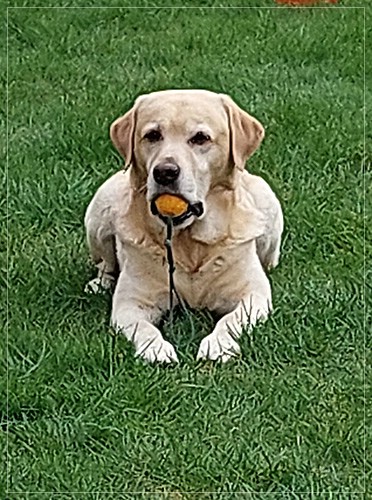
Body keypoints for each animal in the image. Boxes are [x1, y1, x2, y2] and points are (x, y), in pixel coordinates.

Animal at [84, 90, 284, 364]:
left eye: (200, 138)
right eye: (153, 135)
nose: (165, 172)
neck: (190, 244)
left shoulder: (253, 294)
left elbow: (230, 319)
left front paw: (218, 344)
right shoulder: (130, 303)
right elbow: (143, 328)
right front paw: (155, 348)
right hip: (99, 210)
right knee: (105, 263)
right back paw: (99, 283)